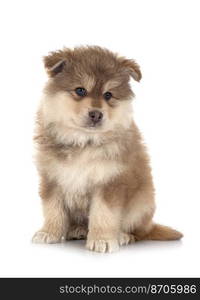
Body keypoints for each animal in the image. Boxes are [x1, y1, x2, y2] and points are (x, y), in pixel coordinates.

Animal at [32, 46, 183, 253]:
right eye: (80, 90)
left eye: (108, 95)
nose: (96, 114)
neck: (84, 141)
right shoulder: (52, 178)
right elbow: (53, 209)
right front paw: (49, 233)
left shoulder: (110, 182)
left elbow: (103, 214)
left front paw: (102, 240)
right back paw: (78, 230)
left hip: (142, 204)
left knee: (138, 232)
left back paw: (123, 236)